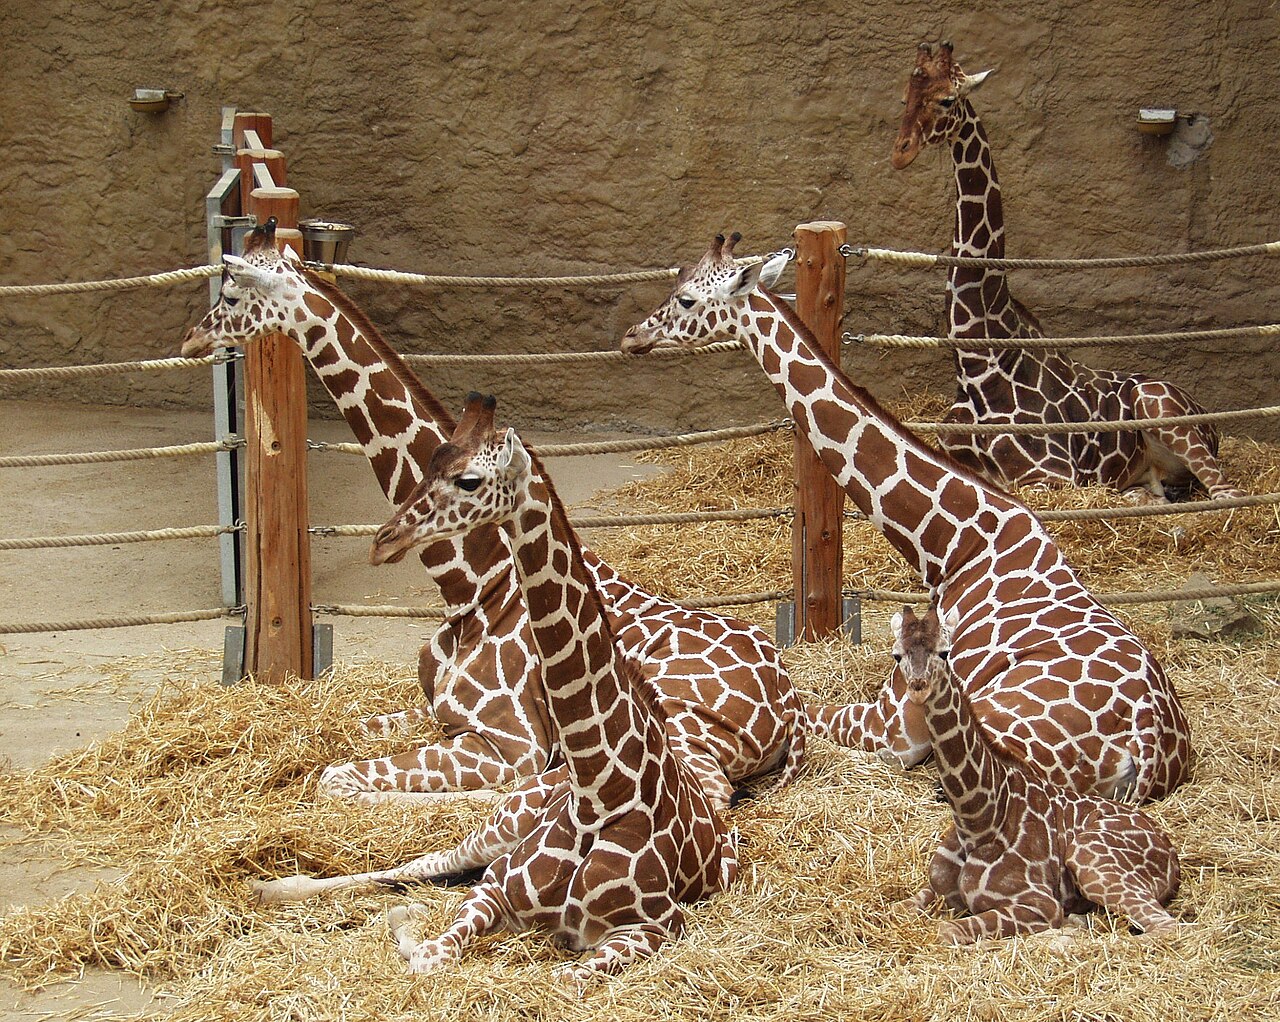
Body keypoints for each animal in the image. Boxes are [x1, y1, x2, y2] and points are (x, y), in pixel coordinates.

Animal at [180, 219, 805, 810]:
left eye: (230, 294)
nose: (190, 337)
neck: (472, 582)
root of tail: (791, 704)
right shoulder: (432, 712)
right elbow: (343, 734)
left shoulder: (509, 742)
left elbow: (335, 778)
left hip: (681, 721)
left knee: (703, 793)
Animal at [370, 393, 737, 980]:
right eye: (429, 462)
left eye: (469, 480)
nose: (384, 542)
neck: (598, 790)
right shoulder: (495, 887)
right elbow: (431, 954)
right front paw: (409, 932)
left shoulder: (652, 928)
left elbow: (564, 978)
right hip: (498, 828)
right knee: (419, 864)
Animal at [621, 233, 1192, 803]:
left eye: (687, 299)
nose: (632, 336)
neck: (954, 548)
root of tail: (1146, 750)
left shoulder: (891, 723)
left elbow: (809, 708)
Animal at [892, 41, 1241, 503]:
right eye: (905, 97)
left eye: (947, 99)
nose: (900, 152)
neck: (978, 363)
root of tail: (1210, 419)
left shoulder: (1053, 475)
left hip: (1161, 409)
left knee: (1223, 493)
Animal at [895, 603, 1181, 943]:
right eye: (897, 654)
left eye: (945, 652)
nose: (918, 688)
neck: (977, 819)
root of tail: (1172, 855)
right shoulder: (934, 889)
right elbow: (898, 910)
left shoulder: (1038, 904)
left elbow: (947, 930)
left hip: (1091, 860)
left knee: (1166, 927)